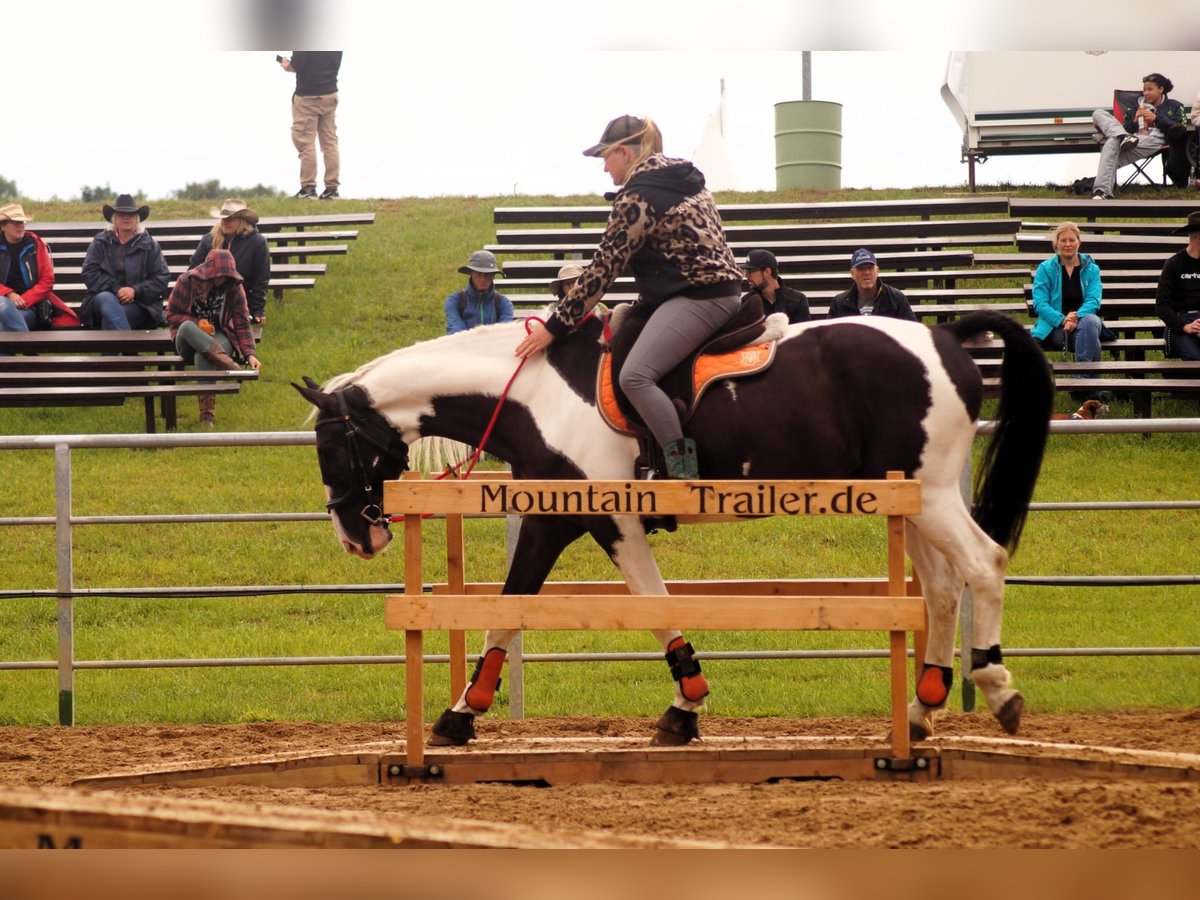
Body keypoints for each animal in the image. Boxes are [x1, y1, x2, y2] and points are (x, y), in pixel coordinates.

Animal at [294, 308, 1053, 746]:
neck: (535, 396)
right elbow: (519, 610)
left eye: (331, 449)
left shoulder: (596, 520)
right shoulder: (559, 518)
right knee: (942, 589)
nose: (355, 538)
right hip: (911, 499)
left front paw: (685, 702)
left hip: (932, 494)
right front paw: (466, 709)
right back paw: (922, 710)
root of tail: (944, 335)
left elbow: (635, 605)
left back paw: (997, 686)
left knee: (982, 564)